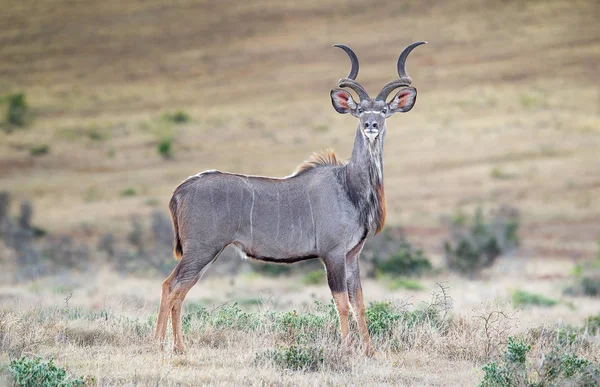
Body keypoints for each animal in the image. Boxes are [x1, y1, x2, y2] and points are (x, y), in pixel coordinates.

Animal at [155, 42, 426, 358]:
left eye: (383, 110)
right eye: (359, 110)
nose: (371, 125)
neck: (348, 185)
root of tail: (179, 191)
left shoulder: (352, 255)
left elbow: (359, 302)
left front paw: (369, 351)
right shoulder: (332, 254)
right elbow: (342, 303)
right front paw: (347, 349)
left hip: (203, 254)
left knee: (180, 290)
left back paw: (179, 348)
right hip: (201, 250)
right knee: (170, 286)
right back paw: (157, 345)